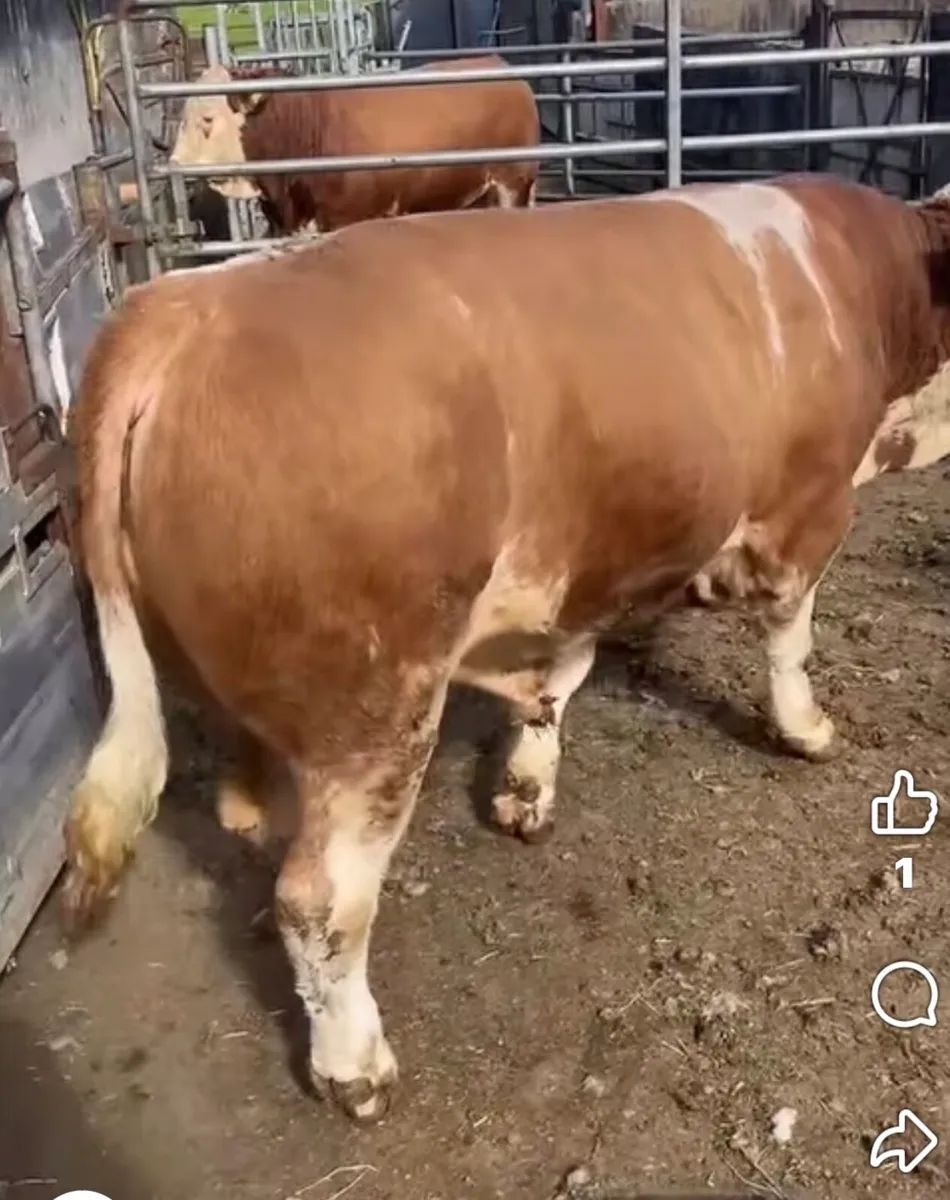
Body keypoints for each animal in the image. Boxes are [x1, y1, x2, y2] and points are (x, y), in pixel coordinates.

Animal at [62, 174, 950, 1124]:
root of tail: (182, 307)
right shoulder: (808, 508)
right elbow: (790, 635)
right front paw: (806, 729)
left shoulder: (579, 566)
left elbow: (556, 680)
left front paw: (526, 787)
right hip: (379, 709)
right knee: (321, 902)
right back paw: (355, 1068)